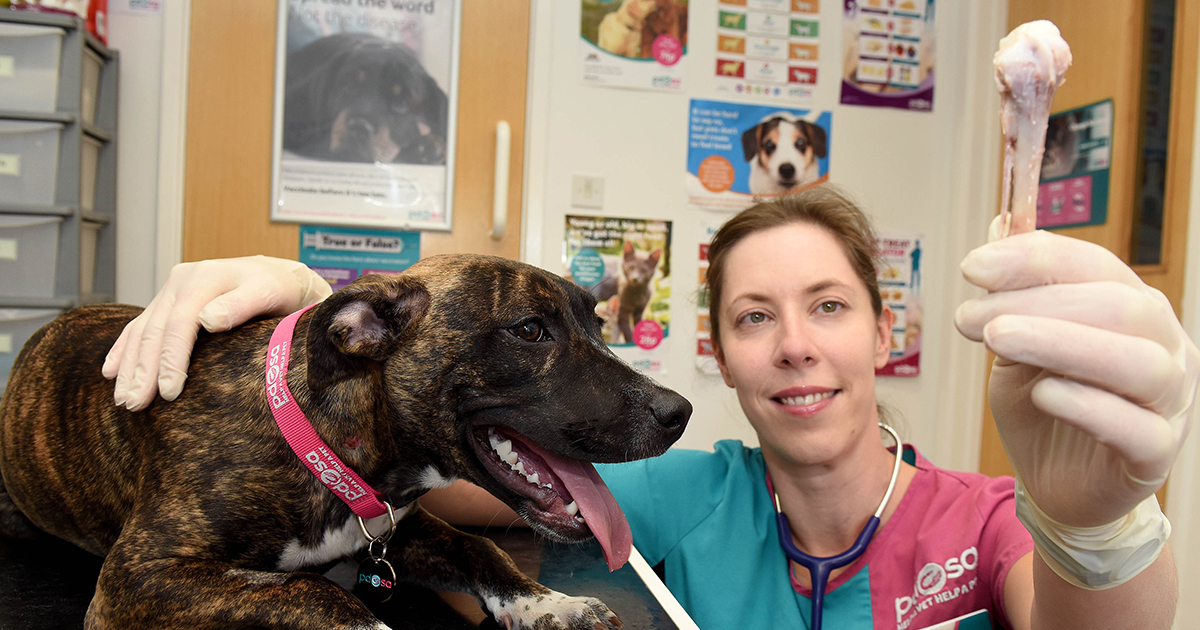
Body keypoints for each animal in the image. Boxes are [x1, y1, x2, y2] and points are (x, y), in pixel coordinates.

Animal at [0, 253, 691, 624]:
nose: (678, 411)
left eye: (597, 325)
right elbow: (315, 593)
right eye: (529, 330)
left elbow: (483, 550)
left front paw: (551, 603)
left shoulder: (402, 527)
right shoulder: (138, 577)